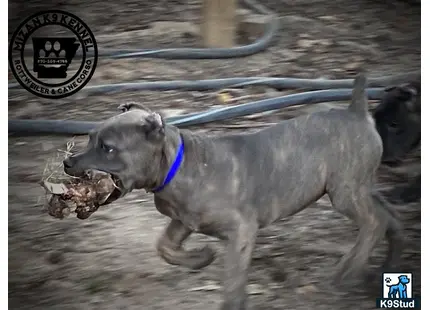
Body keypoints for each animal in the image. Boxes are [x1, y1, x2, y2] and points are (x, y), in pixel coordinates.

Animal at [63, 73, 404, 310]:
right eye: (89, 137)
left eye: (108, 148)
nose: (67, 162)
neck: (178, 165)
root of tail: (357, 111)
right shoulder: (183, 222)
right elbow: (164, 247)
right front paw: (200, 258)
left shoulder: (241, 231)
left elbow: (233, 280)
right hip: (360, 186)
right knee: (389, 215)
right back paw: (388, 266)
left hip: (345, 192)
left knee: (374, 222)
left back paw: (347, 271)